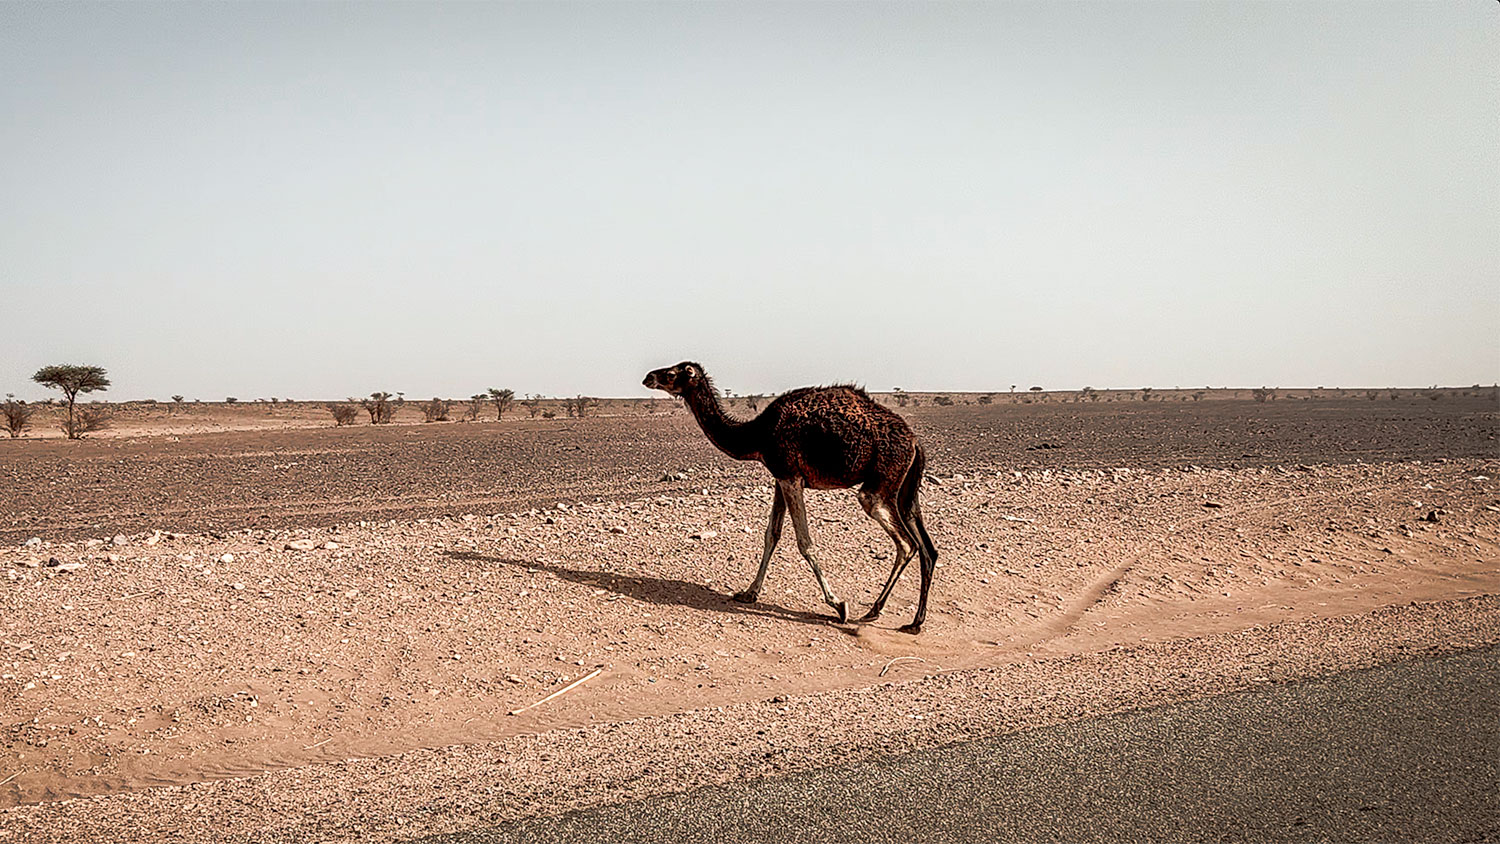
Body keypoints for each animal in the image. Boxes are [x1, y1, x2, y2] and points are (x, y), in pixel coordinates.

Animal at [645, 361, 936, 635]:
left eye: (671, 374)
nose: (648, 377)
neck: (757, 435)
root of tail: (915, 443)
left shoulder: (790, 475)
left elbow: (805, 542)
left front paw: (838, 605)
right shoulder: (779, 477)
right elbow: (771, 534)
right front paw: (748, 593)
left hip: (880, 484)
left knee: (907, 543)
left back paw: (874, 611)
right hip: (904, 489)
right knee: (927, 547)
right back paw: (914, 622)